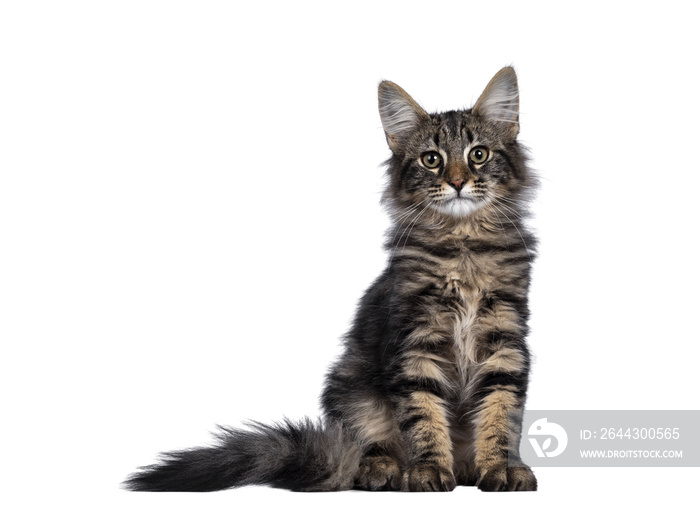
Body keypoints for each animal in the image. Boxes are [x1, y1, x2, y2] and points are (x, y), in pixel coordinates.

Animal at [126, 66, 540, 492]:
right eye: (431, 160)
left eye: (478, 155)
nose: (457, 182)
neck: (463, 245)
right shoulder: (415, 343)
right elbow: (423, 415)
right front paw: (427, 470)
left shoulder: (505, 340)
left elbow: (500, 415)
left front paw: (502, 468)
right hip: (352, 388)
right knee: (364, 447)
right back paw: (385, 470)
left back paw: (465, 468)